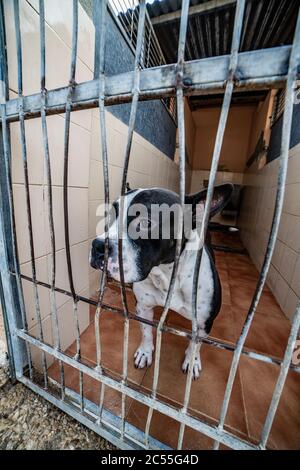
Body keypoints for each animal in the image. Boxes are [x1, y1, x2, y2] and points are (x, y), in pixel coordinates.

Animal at [90, 184, 233, 378]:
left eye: (146, 223)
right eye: (111, 216)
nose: (98, 246)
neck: (166, 274)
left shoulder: (203, 324)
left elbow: (195, 345)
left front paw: (192, 360)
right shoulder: (143, 307)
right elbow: (146, 332)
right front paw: (145, 352)